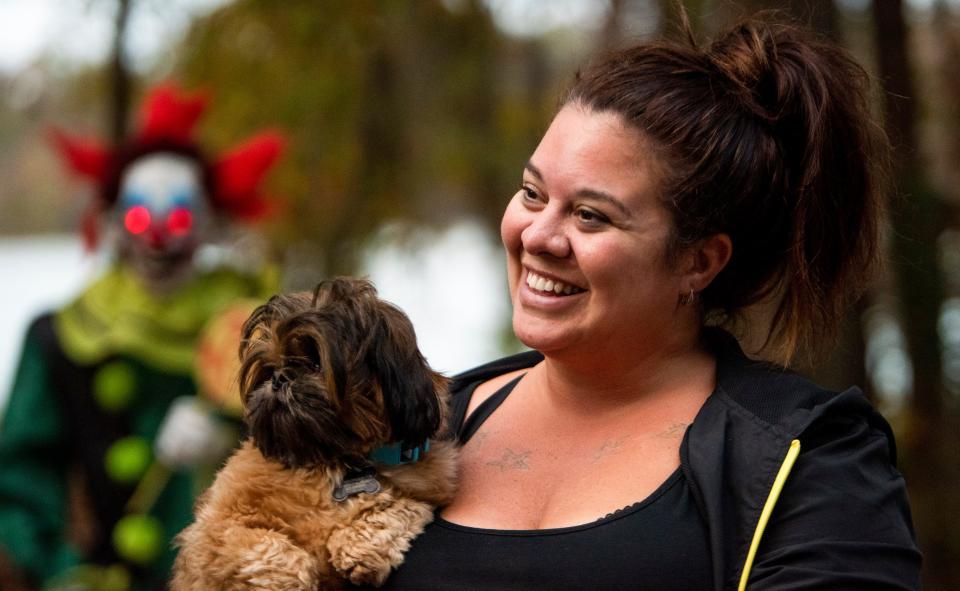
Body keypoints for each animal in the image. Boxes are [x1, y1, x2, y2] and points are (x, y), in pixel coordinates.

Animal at [172, 278, 458, 591]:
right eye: (268, 369)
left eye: (317, 364)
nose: (280, 376)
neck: (329, 460)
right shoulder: (212, 530)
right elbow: (266, 545)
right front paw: (294, 578)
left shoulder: (425, 491)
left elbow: (398, 507)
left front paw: (359, 548)